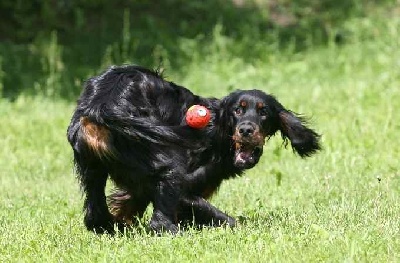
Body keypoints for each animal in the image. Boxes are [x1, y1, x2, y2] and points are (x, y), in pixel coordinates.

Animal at [67, 65, 320, 234]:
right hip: (168, 166)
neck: (217, 132)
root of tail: (101, 103)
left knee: (95, 215)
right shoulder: (185, 191)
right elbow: (225, 219)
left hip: (91, 168)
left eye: (264, 111)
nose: (246, 129)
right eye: (237, 110)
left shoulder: (138, 189)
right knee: (159, 222)